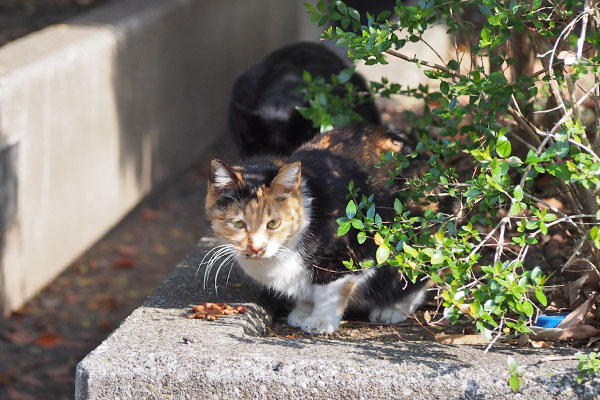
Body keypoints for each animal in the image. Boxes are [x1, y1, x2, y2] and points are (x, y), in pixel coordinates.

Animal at [206, 125, 426, 334]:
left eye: (273, 224)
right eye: (238, 224)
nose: (256, 248)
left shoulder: (350, 255)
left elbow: (330, 291)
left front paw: (321, 320)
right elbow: (305, 293)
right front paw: (302, 312)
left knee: (416, 279)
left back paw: (393, 309)